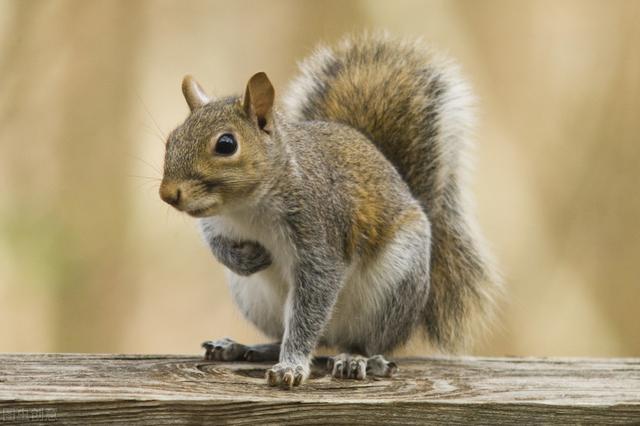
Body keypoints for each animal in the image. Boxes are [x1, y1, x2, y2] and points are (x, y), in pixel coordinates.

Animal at [159, 31, 500, 388]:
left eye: (226, 144)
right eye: (171, 139)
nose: (167, 194)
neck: (246, 208)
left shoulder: (320, 233)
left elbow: (312, 302)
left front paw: (291, 367)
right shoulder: (217, 223)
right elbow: (217, 244)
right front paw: (246, 258)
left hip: (393, 287)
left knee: (358, 341)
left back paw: (356, 359)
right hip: (255, 298)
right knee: (290, 335)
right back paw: (242, 347)